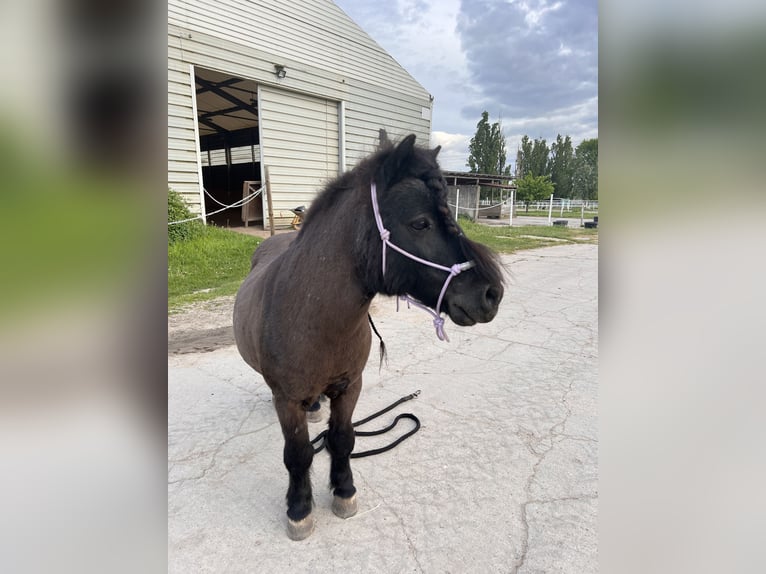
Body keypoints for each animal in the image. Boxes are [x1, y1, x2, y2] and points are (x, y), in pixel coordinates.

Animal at [234, 134, 510, 540]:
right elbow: (298, 454)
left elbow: (342, 439)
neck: (314, 319)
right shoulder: (286, 400)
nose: (492, 294)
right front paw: (299, 510)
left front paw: (344, 491)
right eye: (421, 222)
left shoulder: (351, 387)